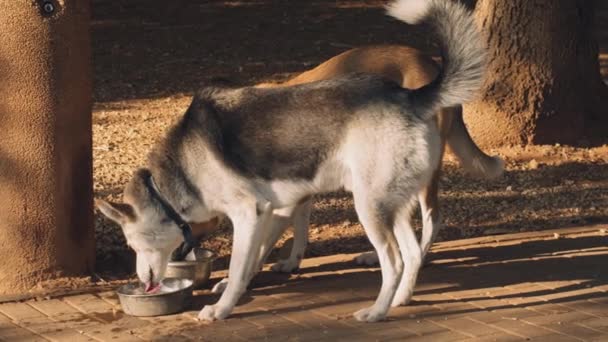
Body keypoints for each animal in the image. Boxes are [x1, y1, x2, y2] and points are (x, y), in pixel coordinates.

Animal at [97, 0, 486, 324]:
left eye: (133, 245)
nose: (143, 281)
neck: (176, 178)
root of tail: (411, 97)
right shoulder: (273, 211)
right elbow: (254, 260)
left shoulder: (249, 215)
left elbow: (239, 267)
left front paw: (221, 308)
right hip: (391, 205)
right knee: (413, 254)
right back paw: (400, 299)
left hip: (370, 207)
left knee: (395, 260)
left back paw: (376, 311)